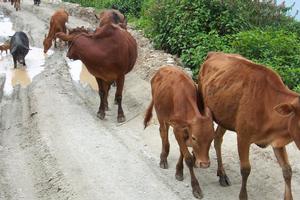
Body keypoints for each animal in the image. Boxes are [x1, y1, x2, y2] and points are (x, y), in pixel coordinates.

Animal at [197, 52, 300, 200]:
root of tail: (214, 53)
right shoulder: (243, 137)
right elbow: (245, 169)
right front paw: (243, 196)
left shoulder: (277, 141)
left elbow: (287, 170)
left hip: (225, 116)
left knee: (217, 139)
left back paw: (222, 174)